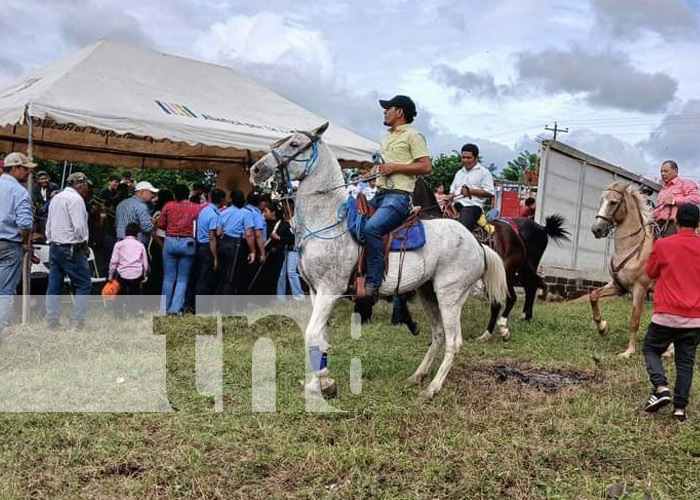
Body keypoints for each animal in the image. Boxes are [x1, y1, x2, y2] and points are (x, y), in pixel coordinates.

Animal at [249, 123, 506, 400]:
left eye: (294, 144)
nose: (256, 170)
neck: (328, 221)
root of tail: (477, 244)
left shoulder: (331, 290)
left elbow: (311, 334)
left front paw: (325, 381)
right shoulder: (317, 292)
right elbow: (321, 337)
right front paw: (317, 384)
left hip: (450, 296)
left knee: (453, 341)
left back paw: (432, 388)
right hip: (428, 293)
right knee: (438, 335)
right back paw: (417, 376)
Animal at [592, 182, 656, 358]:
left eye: (613, 202)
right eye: (601, 201)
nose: (596, 229)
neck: (633, 248)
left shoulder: (640, 290)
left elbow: (634, 320)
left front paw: (629, 352)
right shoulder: (618, 285)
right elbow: (593, 296)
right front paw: (603, 328)